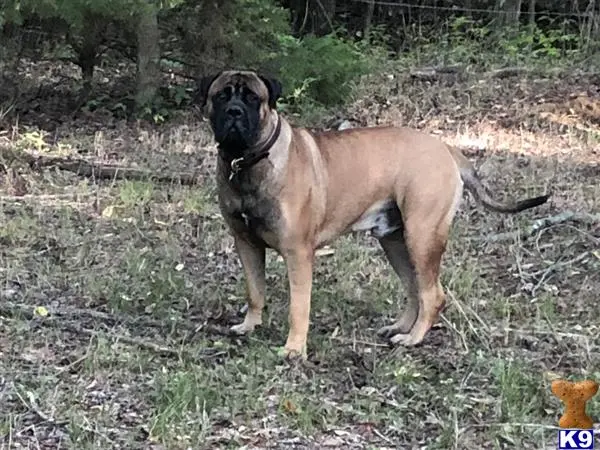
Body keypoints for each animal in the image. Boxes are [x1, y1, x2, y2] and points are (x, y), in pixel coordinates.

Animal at [196, 69, 548, 358]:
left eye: (253, 98)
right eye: (221, 95)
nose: (234, 112)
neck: (247, 162)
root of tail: (447, 149)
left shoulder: (297, 253)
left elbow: (299, 306)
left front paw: (294, 349)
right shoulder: (246, 243)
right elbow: (254, 290)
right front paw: (249, 325)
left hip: (422, 235)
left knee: (432, 294)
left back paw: (413, 338)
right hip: (395, 240)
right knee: (414, 288)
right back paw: (401, 328)